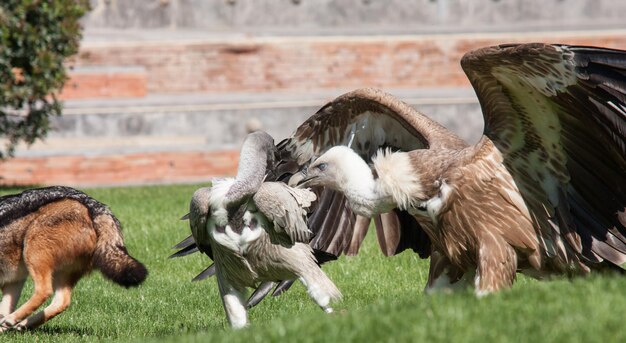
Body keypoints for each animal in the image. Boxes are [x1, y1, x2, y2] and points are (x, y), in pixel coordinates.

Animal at [0, 187, 146, 332]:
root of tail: (95, 206)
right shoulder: (13, 281)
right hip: (52, 274)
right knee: (62, 302)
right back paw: (19, 324)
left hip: (33, 253)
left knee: (44, 291)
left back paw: (11, 320)